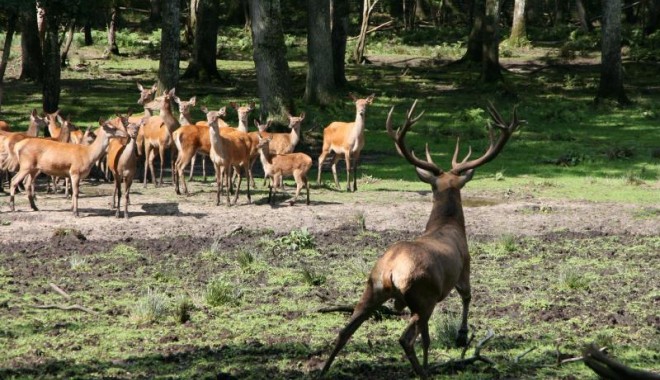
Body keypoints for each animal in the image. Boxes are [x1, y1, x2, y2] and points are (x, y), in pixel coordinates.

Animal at [320, 101, 520, 378]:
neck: (447, 225)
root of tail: (390, 272)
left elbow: (427, 338)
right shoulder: (464, 267)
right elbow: (467, 296)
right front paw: (461, 335)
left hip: (373, 289)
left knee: (344, 331)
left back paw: (321, 370)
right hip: (422, 296)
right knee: (406, 339)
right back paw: (424, 372)